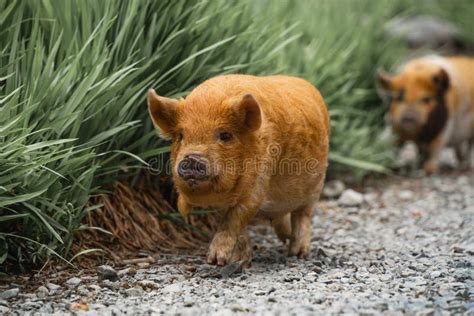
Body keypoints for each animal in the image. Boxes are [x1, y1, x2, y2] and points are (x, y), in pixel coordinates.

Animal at [148, 74, 330, 266]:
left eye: (225, 135)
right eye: (180, 136)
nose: (191, 158)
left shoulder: (259, 183)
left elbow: (235, 218)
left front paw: (216, 261)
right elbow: (232, 223)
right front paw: (239, 260)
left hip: (316, 187)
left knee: (303, 216)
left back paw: (298, 254)